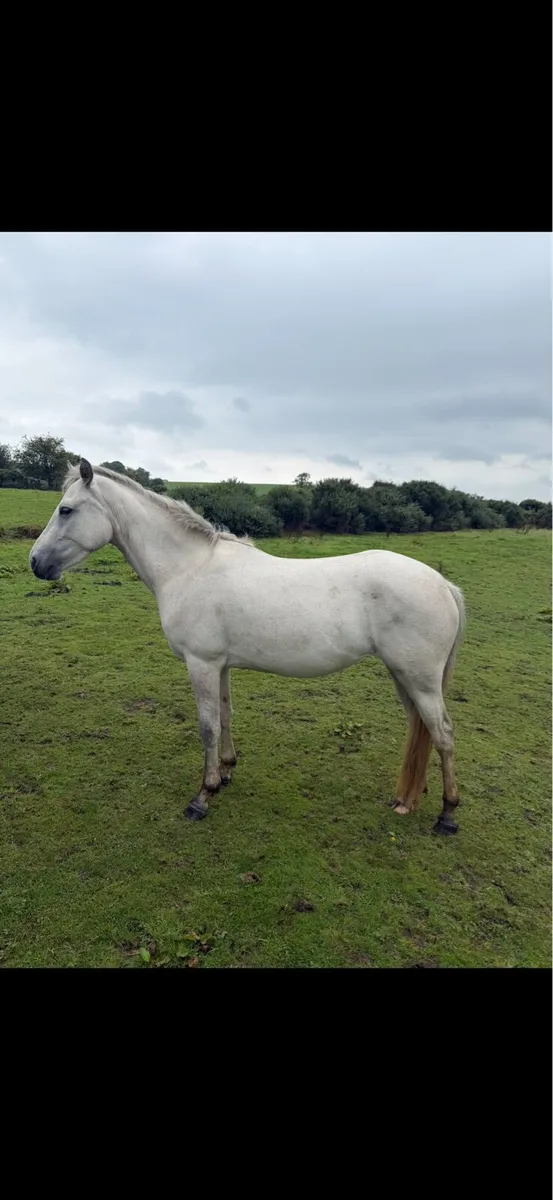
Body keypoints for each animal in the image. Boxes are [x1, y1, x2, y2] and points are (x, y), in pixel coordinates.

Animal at [30, 459, 466, 834]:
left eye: (66, 510)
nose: (36, 562)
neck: (190, 568)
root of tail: (444, 584)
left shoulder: (201, 663)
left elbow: (206, 725)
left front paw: (202, 796)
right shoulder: (220, 664)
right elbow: (225, 716)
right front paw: (225, 771)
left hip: (420, 679)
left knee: (442, 734)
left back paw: (447, 814)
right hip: (403, 676)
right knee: (421, 728)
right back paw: (409, 797)